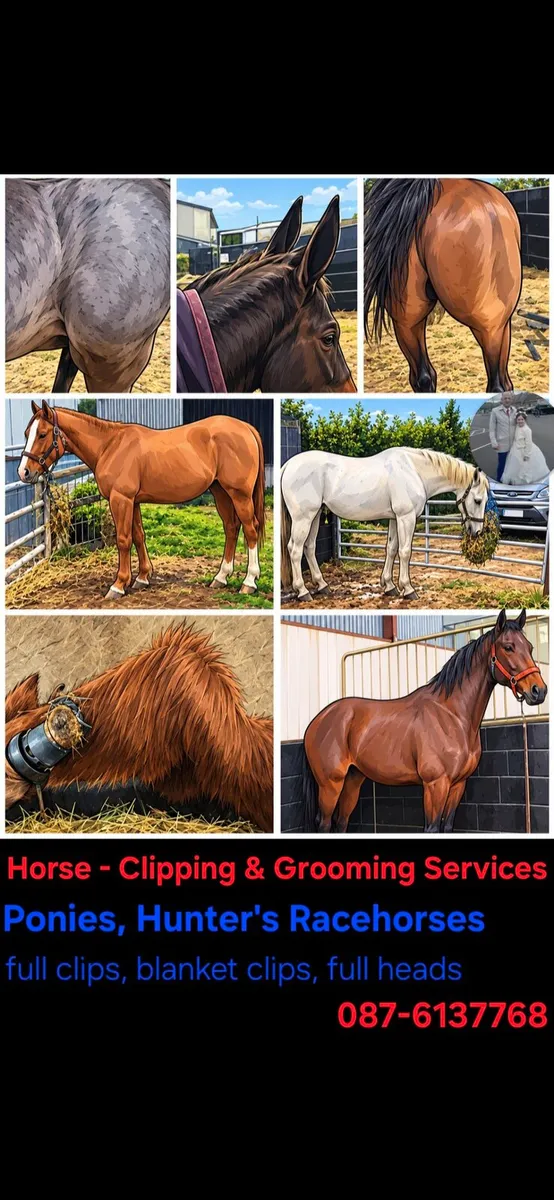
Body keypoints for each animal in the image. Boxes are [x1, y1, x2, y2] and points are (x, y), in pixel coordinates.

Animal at [19, 402, 266, 599]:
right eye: (26, 433)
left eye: (42, 434)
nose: (24, 472)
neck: (110, 445)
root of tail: (247, 428)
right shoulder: (133, 501)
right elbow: (138, 536)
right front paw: (143, 577)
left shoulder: (121, 499)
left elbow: (123, 540)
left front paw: (119, 585)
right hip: (220, 491)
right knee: (231, 528)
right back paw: (221, 577)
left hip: (239, 494)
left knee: (250, 530)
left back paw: (249, 582)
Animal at [281, 446, 489, 601]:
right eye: (478, 500)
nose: (477, 531)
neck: (414, 470)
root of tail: (288, 465)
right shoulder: (406, 517)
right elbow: (405, 552)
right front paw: (408, 589)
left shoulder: (394, 519)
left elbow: (391, 549)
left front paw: (389, 586)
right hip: (303, 518)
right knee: (295, 549)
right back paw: (303, 592)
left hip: (315, 516)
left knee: (309, 547)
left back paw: (322, 585)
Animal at [301, 609, 546, 833]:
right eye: (508, 647)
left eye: (530, 648)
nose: (539, 691)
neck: (452, 716)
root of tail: (318, 720)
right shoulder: (435, 785)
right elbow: (432, 828)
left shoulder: (457, 785)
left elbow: (447, 827)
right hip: (330, 784)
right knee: (324, 824)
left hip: (353, 780)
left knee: (341, 822)